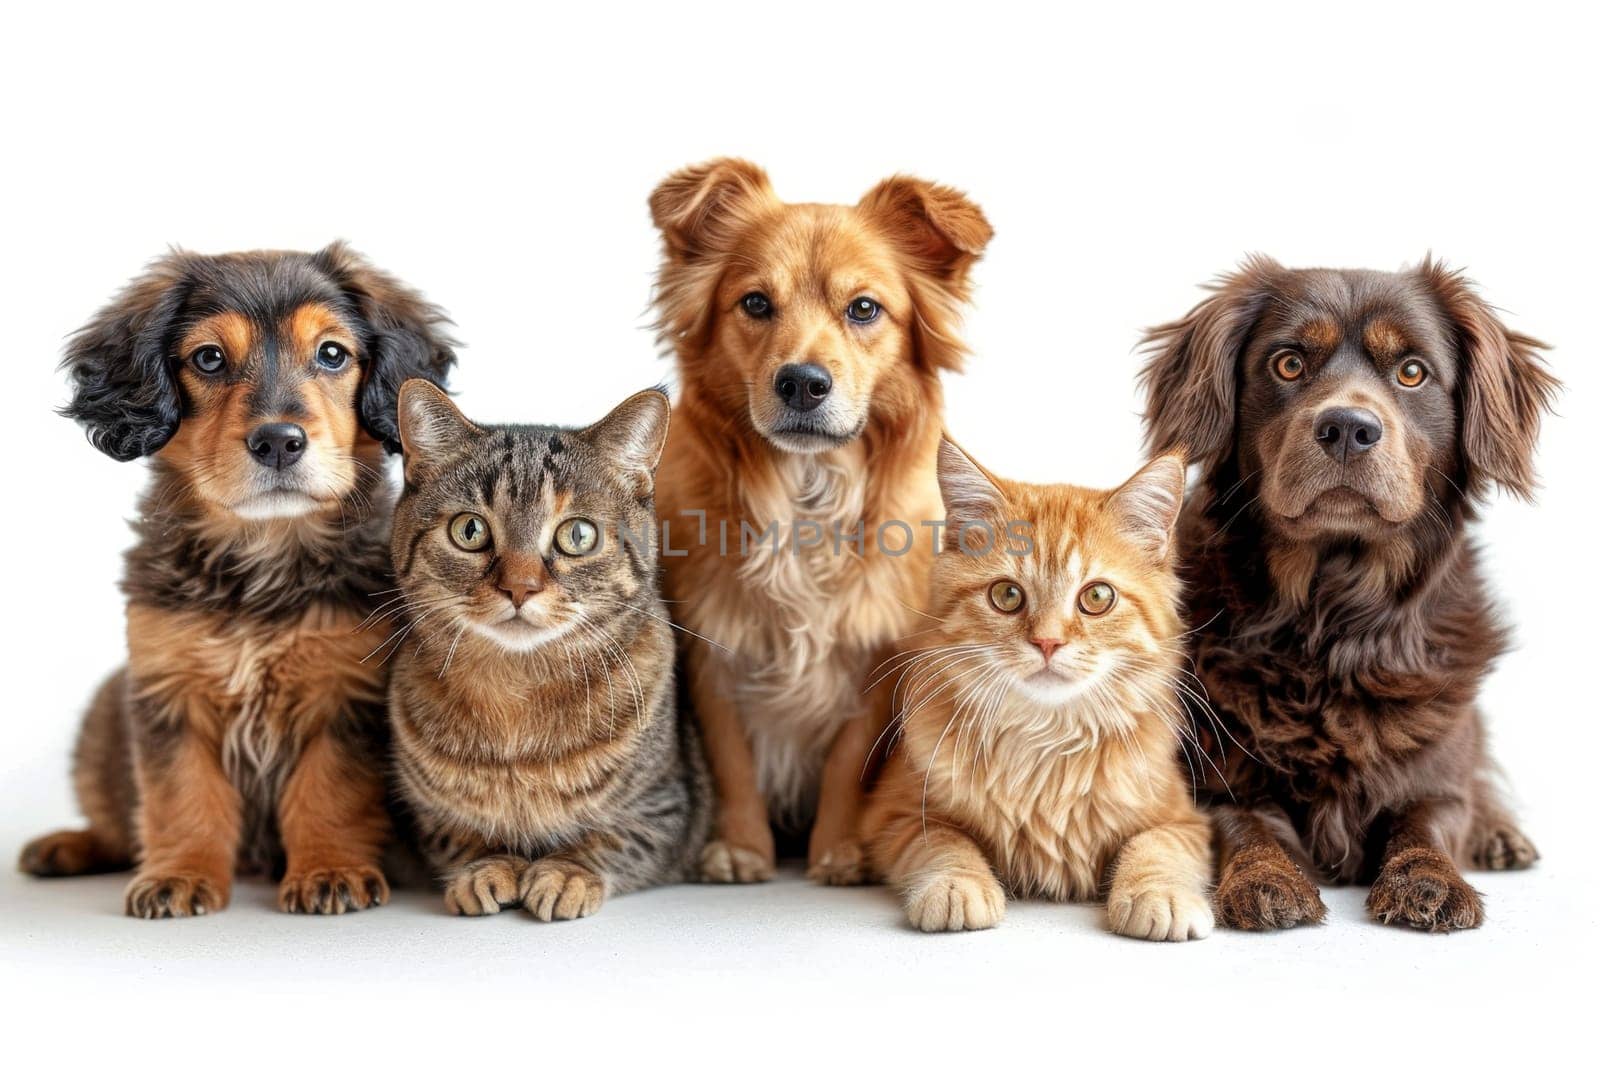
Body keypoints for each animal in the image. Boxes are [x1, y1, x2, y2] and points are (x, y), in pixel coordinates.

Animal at [18, 241, 454, 921]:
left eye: (332, 354)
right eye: (209, 358)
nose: (278, 441)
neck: (262, 553)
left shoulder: (344, 692)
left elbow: (329, 790)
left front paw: (329, 869)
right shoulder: (168, 689)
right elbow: (180, 795)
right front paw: (180, 875)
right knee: (116, 820)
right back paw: (69, 845)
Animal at [384, 382, 710, 921]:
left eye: (577, 535)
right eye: (470, 530)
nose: (520, 587)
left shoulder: (667, 808)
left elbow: (608, 839)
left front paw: (565, 872)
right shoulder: (425, 816)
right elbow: (461, 837)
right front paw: (487, 868)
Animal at [646, 158, 985, 883]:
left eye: (864, 308)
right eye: (754, 303)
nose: (802, 381)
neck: (807, 494)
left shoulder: (879, 649)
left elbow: (846, 762)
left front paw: (839, 850)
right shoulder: (713, 648)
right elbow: (733, 760)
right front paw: (743, 847)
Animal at [864, 438, 1209, 940]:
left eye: (1097, 597)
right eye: (1007, 596)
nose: (1048, 642)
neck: (1045, 744)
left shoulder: (1184, 819)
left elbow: (1154, 848)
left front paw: (1159, 895)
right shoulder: (896, 813)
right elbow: (946, 843)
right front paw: (956, 887)